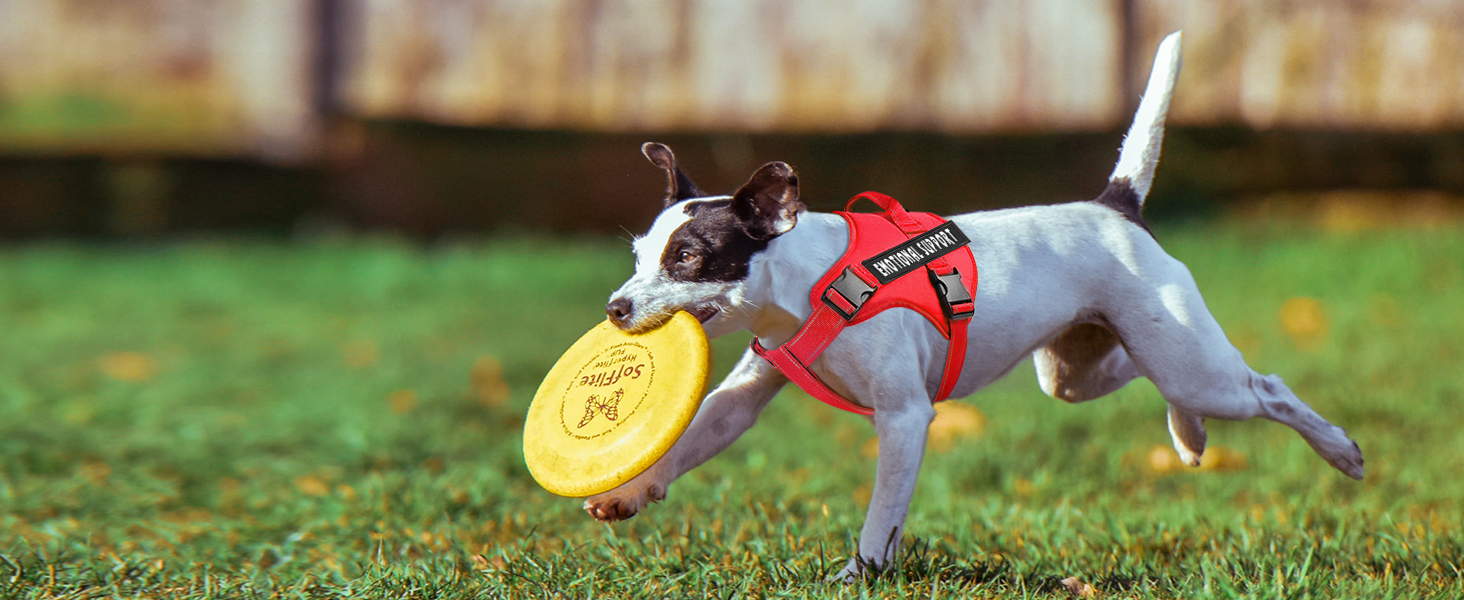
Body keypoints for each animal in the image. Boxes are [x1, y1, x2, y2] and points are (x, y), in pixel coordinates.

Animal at [579, 30, 1358, 579]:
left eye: (687, 258)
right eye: (639, 255)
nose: (615, 308)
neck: (810, 284)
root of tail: (1116, 207)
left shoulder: (903, 419)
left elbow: (880, 518)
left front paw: (858, 574)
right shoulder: (742, 395)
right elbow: (693, 437)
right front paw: (632, 490)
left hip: (1195, 366)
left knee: (1267, 388)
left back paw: (1340, 450)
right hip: (1079, 370)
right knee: (1146, 376)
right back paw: (1188, 435)